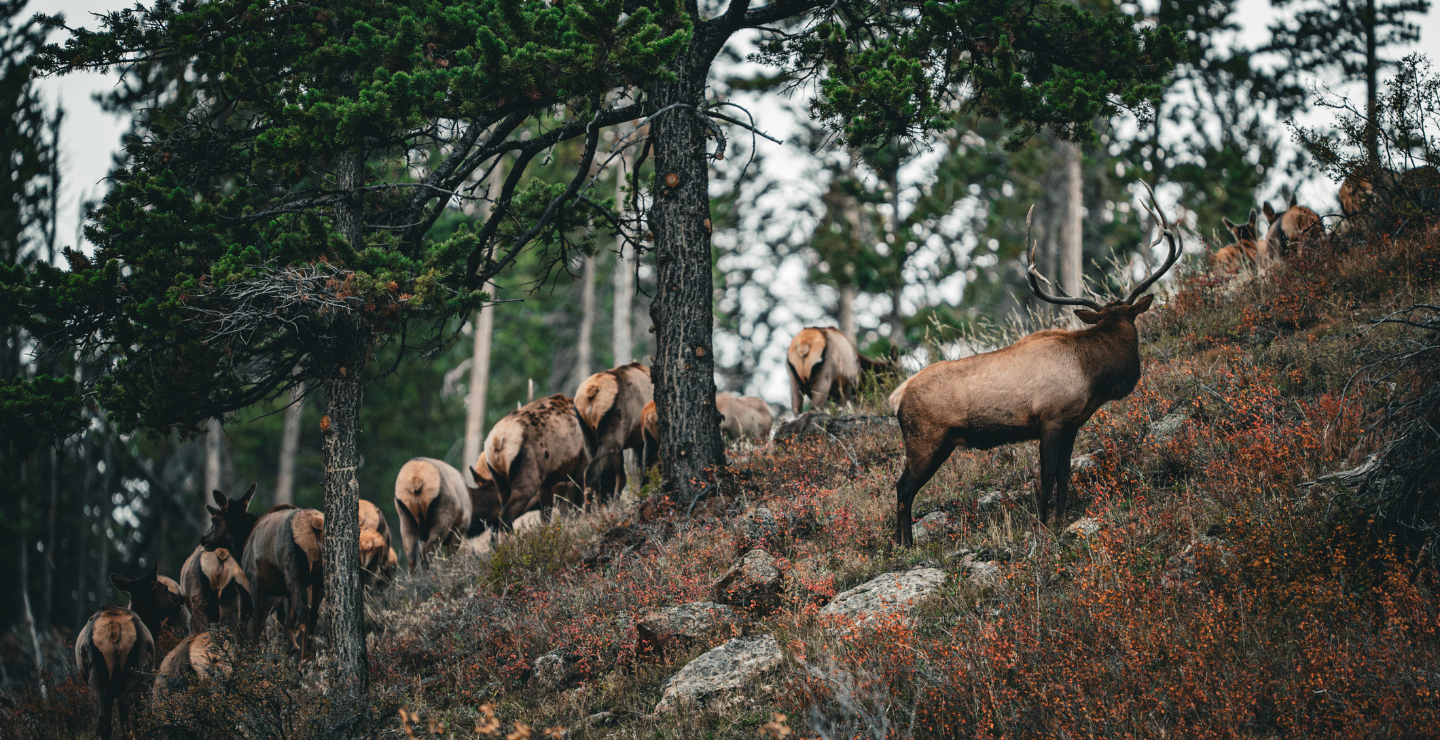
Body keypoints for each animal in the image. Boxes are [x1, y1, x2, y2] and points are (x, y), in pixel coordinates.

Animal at [890, 185, 1179, 545]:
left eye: (1127, 316)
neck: (1091, 375)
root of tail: (897, 396)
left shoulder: (1072, 423)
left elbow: (1065, 474)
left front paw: (1060, 518)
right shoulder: (1050, 418)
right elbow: (1046, 475)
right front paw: (1043, 525)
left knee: (905, 488)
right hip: (926, 440)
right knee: (903, 488)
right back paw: (904, 545)